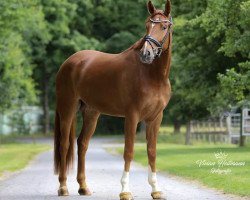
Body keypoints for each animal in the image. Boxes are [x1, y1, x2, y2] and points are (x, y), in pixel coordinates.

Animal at [54, 0, 173, 199]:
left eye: (163, 26)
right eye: (147, 26)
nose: (146, 54)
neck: (152, 76)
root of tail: (68, 63)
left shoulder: (156, 118)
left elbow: (152, 152)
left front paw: (156, 190)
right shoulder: (132, 116)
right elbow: (129, 151)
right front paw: (125, 191)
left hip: (91, 113)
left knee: (82, 144)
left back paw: (83, 187)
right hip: (67, 108)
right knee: (64, 145)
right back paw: (63, 187)